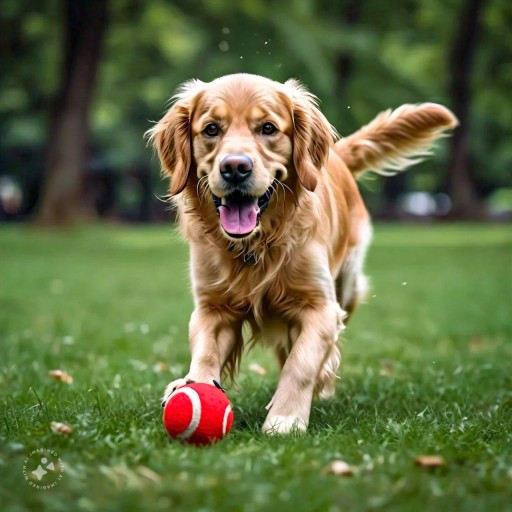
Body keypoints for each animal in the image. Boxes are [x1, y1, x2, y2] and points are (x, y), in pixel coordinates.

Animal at [147, 73, 456, 432]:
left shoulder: (321, 307)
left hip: (347, 285)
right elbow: (205, 353)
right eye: (211, 129)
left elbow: (302, 363)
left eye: (268, 128)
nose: (235, 167)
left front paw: (285, 417)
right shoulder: (213, 307)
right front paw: (190, 384)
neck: (258, 244)